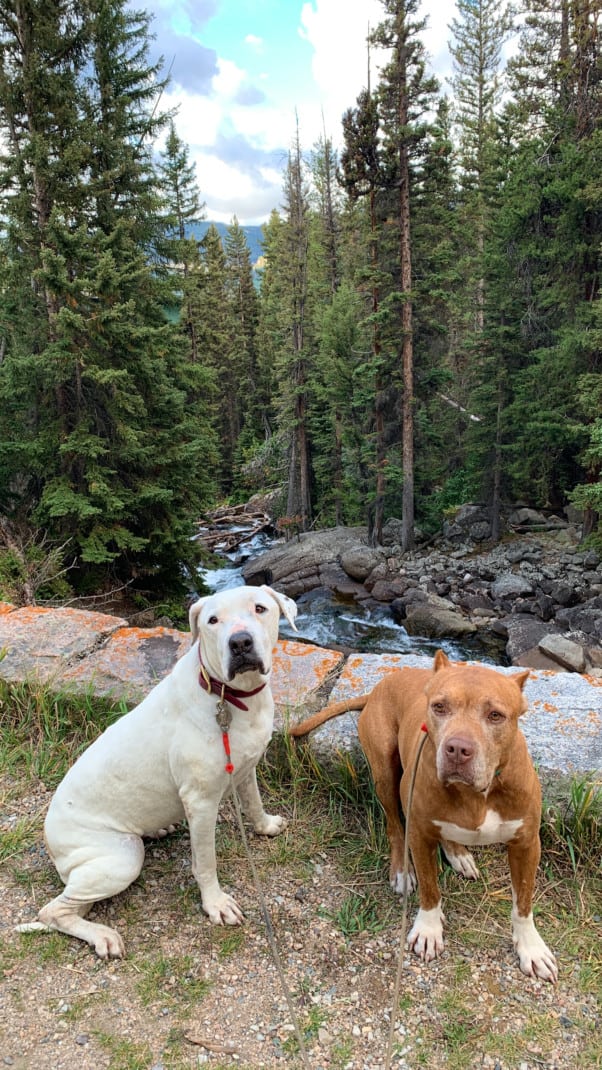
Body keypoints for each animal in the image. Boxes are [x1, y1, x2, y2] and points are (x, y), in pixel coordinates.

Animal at [20, 586, 297, 963]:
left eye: (260, 608)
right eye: (212, 620)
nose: (240, 642)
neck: (230, 696)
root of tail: (49, 837)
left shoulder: (245, 768)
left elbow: (254, 803)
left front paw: (266, 826)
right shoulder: (201, 803)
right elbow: (205, 862)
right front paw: (215, 904)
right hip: (121, 859)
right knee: (53, 911)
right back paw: (102, 936)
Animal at [288, 646, 560, 980]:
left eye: (495, 715)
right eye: (439, 707)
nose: (457, 749)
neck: (476, 794)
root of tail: (380, 686)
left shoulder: (526, 844)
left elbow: (523, 901)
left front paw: (531, 947)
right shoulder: (419, 834)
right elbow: (430, 888)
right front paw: (429, 930)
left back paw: (458, 854)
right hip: (386, 772)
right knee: (394, 826)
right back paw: (402, 871)